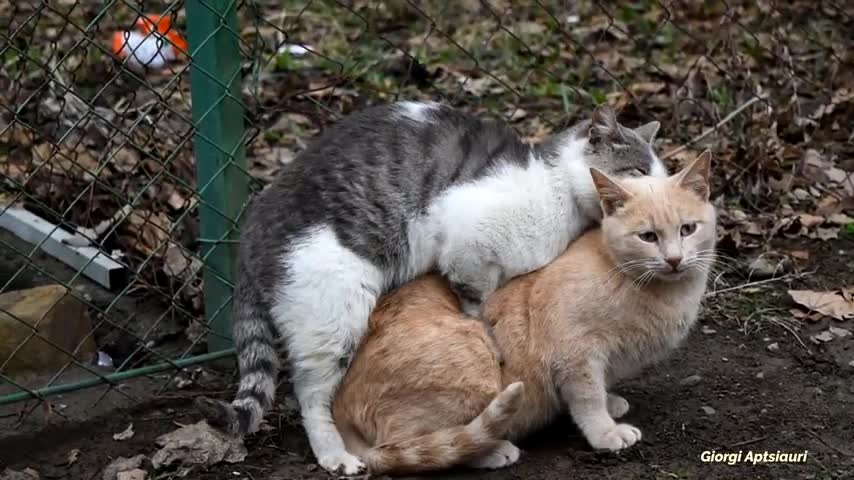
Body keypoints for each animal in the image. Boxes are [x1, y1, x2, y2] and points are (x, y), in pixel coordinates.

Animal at [201, 99, 668, 474]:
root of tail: (249, 236)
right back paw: (335, 455)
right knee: (311, 396)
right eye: (638, 172)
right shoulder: (467, 248)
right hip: (335, 313)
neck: (557, 193)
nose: (656, 203)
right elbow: (479, 309)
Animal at [332, 152, 720, 474]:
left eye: (688, 229)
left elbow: (599, 387)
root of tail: (339, 403)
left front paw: (611, 402)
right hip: (474, 363)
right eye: (648, 236)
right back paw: (490, 450)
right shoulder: (575, 353)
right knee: (408, 447)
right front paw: (605, 432)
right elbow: (588, 398)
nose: (674, 259)